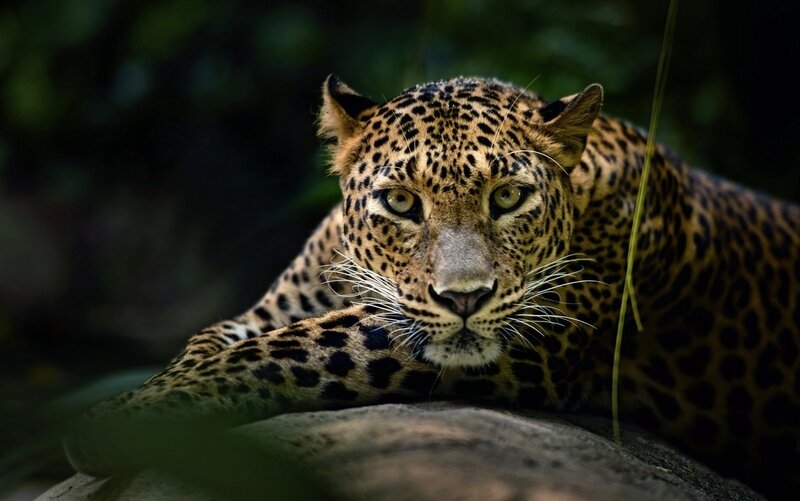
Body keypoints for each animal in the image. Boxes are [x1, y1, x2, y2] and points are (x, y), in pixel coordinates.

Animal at [64, 75, 800, 498]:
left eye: (508, 197)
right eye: (400, 202)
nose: (466, 297)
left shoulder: (523, 331)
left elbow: (284, 350)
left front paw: (116, 421)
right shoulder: (283, 303)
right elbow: (216, 339)